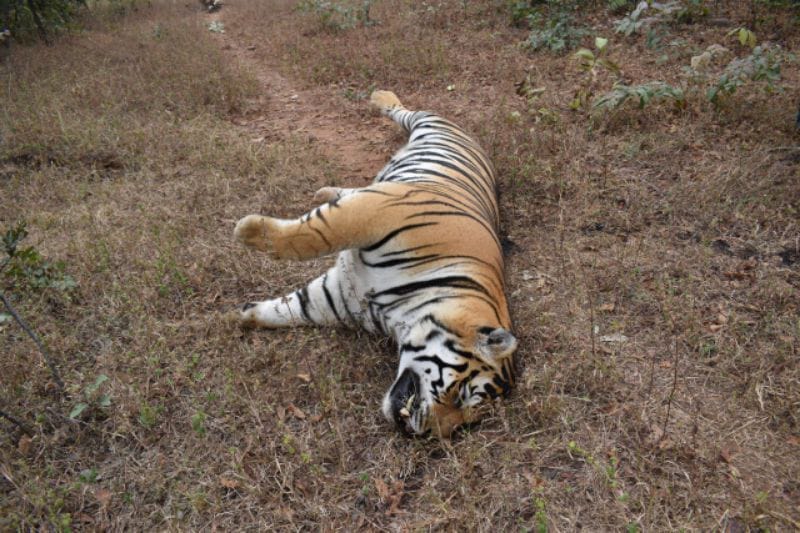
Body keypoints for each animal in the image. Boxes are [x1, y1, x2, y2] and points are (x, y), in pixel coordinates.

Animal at [233, 90, 516, 438]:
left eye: (466, 423)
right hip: (428, 123)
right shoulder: (380, 210)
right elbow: (316, 233)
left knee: (352, 189)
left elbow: (290, 307)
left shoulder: (337, 298)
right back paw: (379, 96)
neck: (400, 315)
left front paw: (244, 315)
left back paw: (325, 192)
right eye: (463, 395)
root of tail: (477, 144)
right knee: (403, 111)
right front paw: (248, 231)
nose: (424, 434)